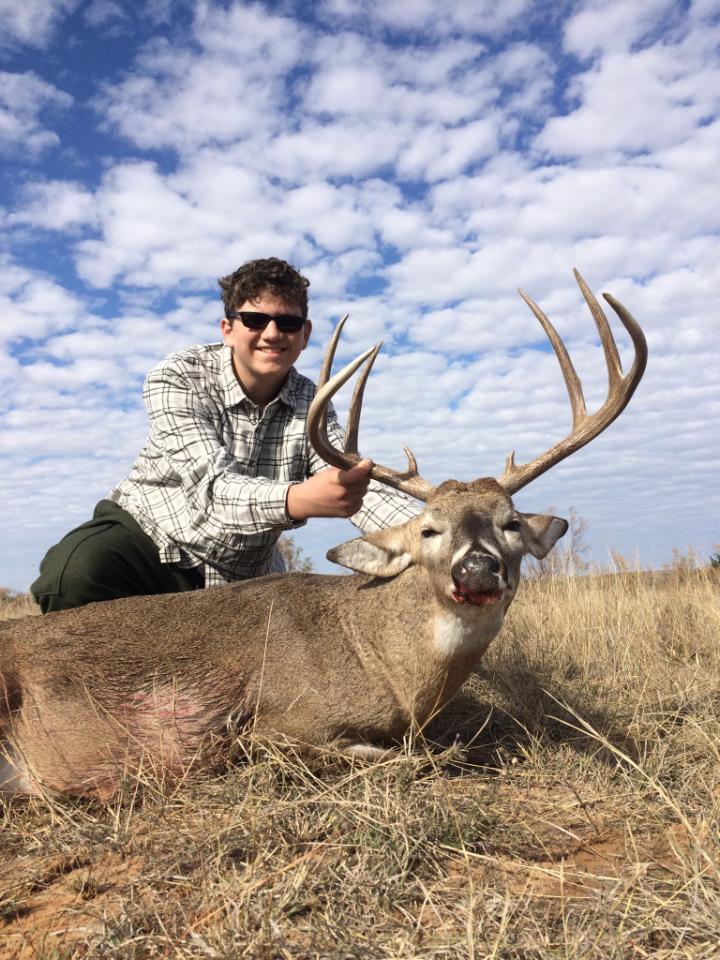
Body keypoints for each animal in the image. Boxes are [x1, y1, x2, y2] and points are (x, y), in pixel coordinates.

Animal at [0, 270, 647, 800]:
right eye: (429, 530)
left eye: (511, 523)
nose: (478, 569)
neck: (388, 665)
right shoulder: (276, 726)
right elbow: (417, 757)